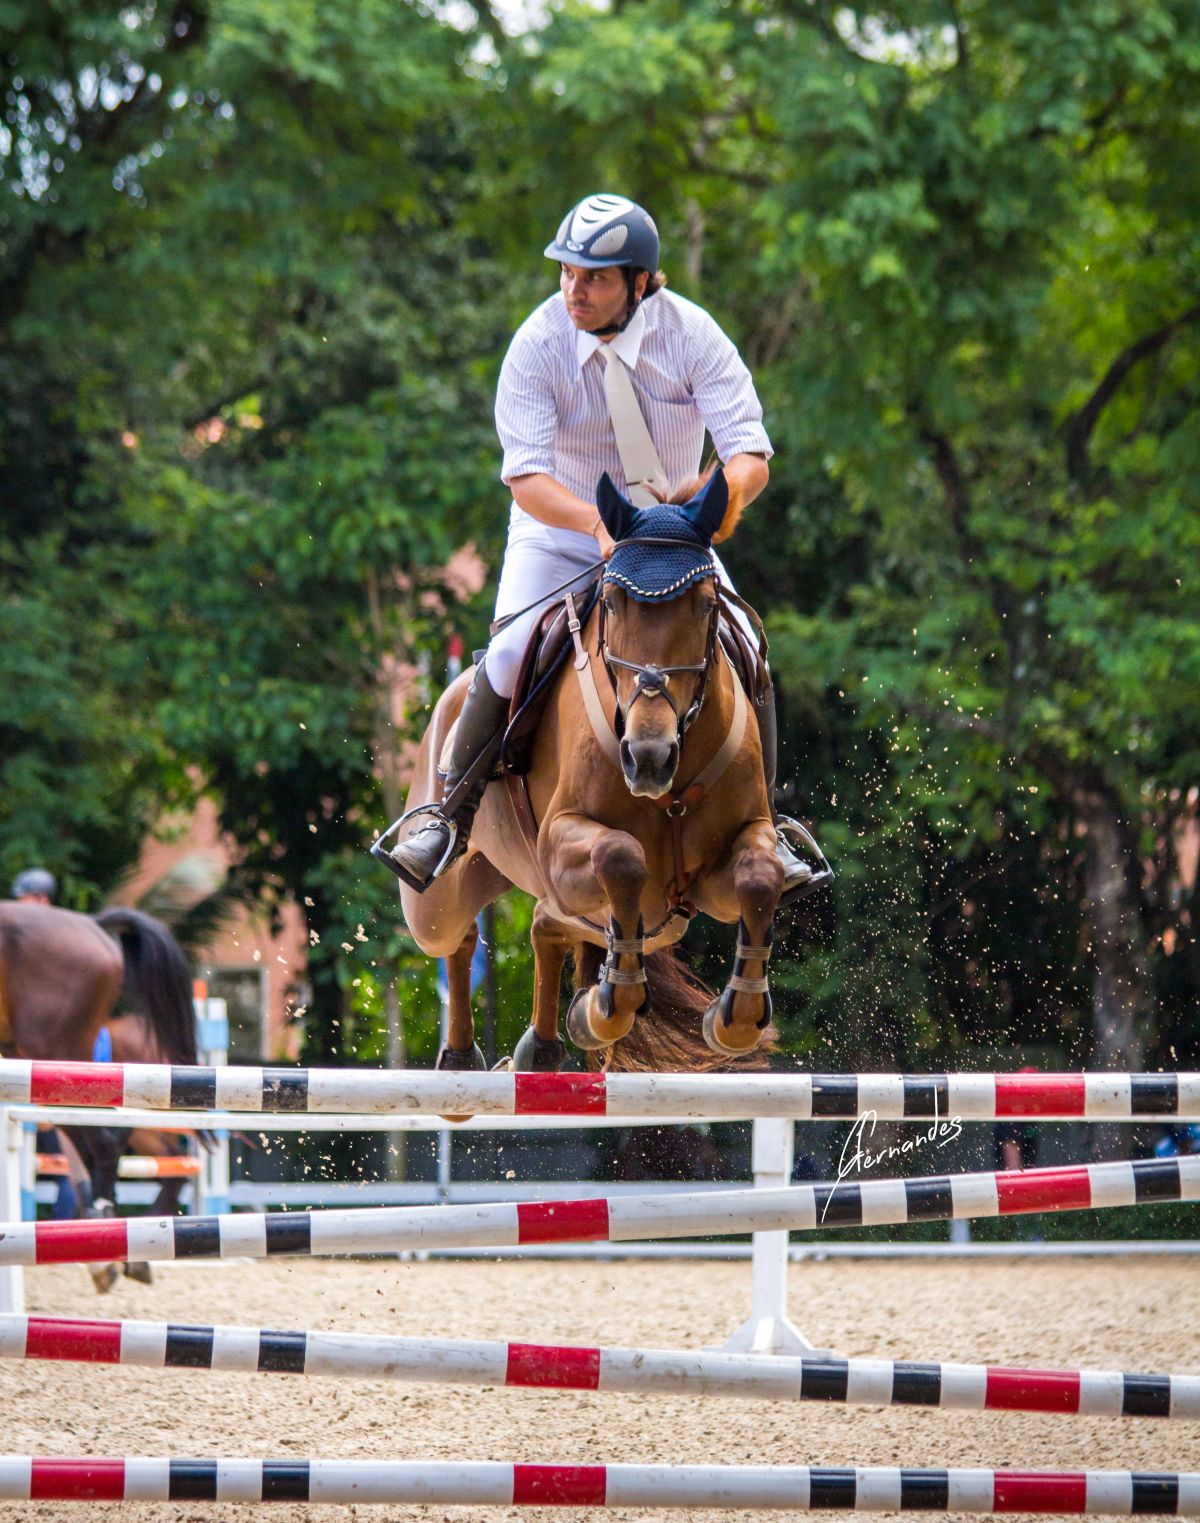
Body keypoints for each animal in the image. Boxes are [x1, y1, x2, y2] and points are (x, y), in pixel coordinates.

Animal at [382, 469, 822, 1078]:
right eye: (613, 604)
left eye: (706, 605)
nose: (649, 757)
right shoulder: (561, 841)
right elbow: (622, 856)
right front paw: (611, 1001)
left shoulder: (719, 866)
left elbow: (760, 875)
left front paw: (734, 1017)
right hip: (434, 900)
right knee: (459, 933)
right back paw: (466, 1053)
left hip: (660, 922)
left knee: (549, 924)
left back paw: (543, 1046)